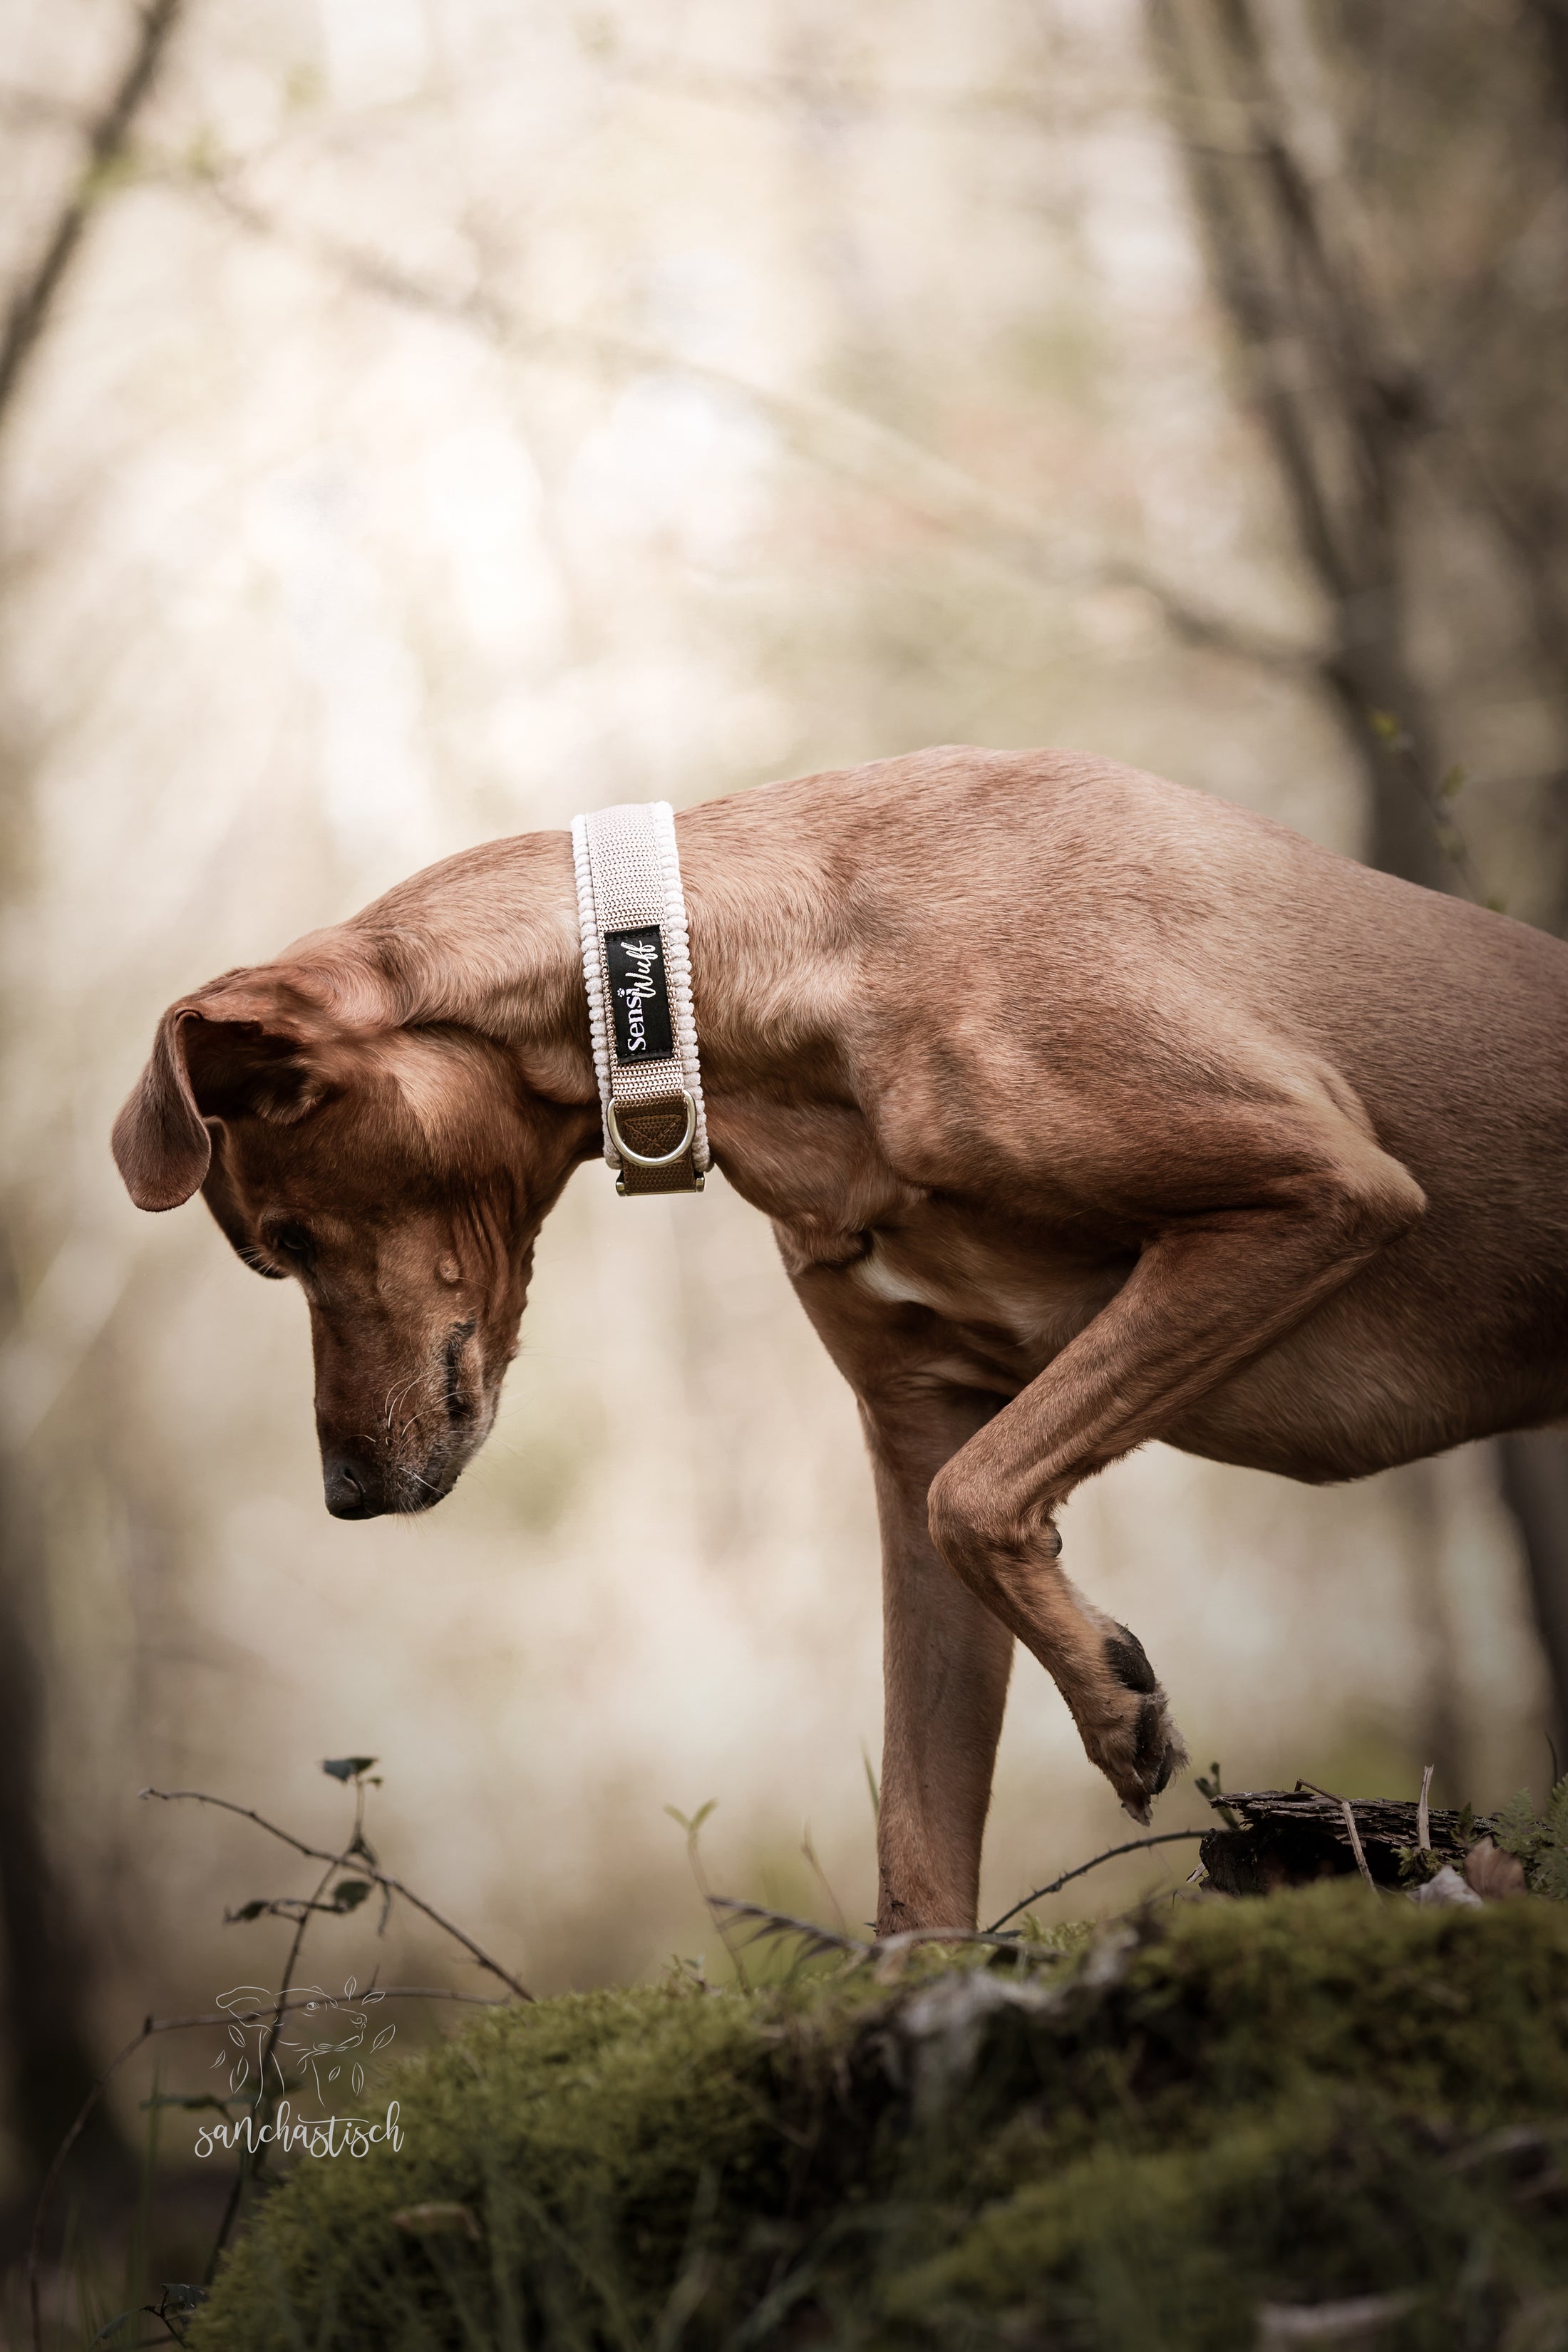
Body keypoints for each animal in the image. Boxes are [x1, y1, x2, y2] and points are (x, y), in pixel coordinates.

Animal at [110, 748, 1568, 1929]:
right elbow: (917, 1839)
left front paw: (1113, 1705)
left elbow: (974, 1504)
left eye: (287, 1243)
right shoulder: (918, 1423)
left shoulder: (1316, 1193)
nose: (346, 1495)